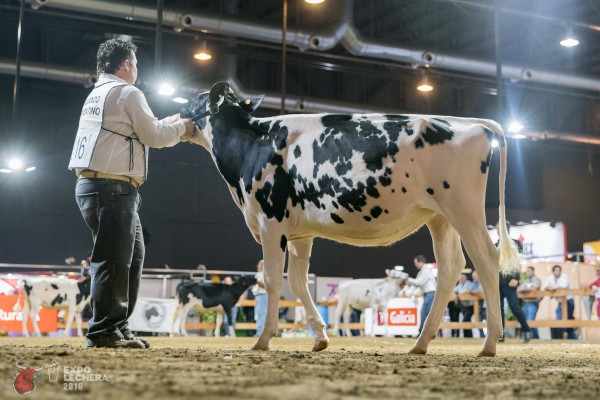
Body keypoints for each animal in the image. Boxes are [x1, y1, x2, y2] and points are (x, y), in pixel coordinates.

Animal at [180, 81, 520, 356]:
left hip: (464, 209)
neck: (251, 146)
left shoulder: (270, 222)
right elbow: (299, 282)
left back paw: (489, 343)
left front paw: (263, 340)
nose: (178, 110)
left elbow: (274, 279)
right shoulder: (300, 234)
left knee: (486, 259)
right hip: (440, 217)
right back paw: (421, 343)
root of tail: (472, 124)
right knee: (450, 267)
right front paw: (320, 337)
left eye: (194, 101)